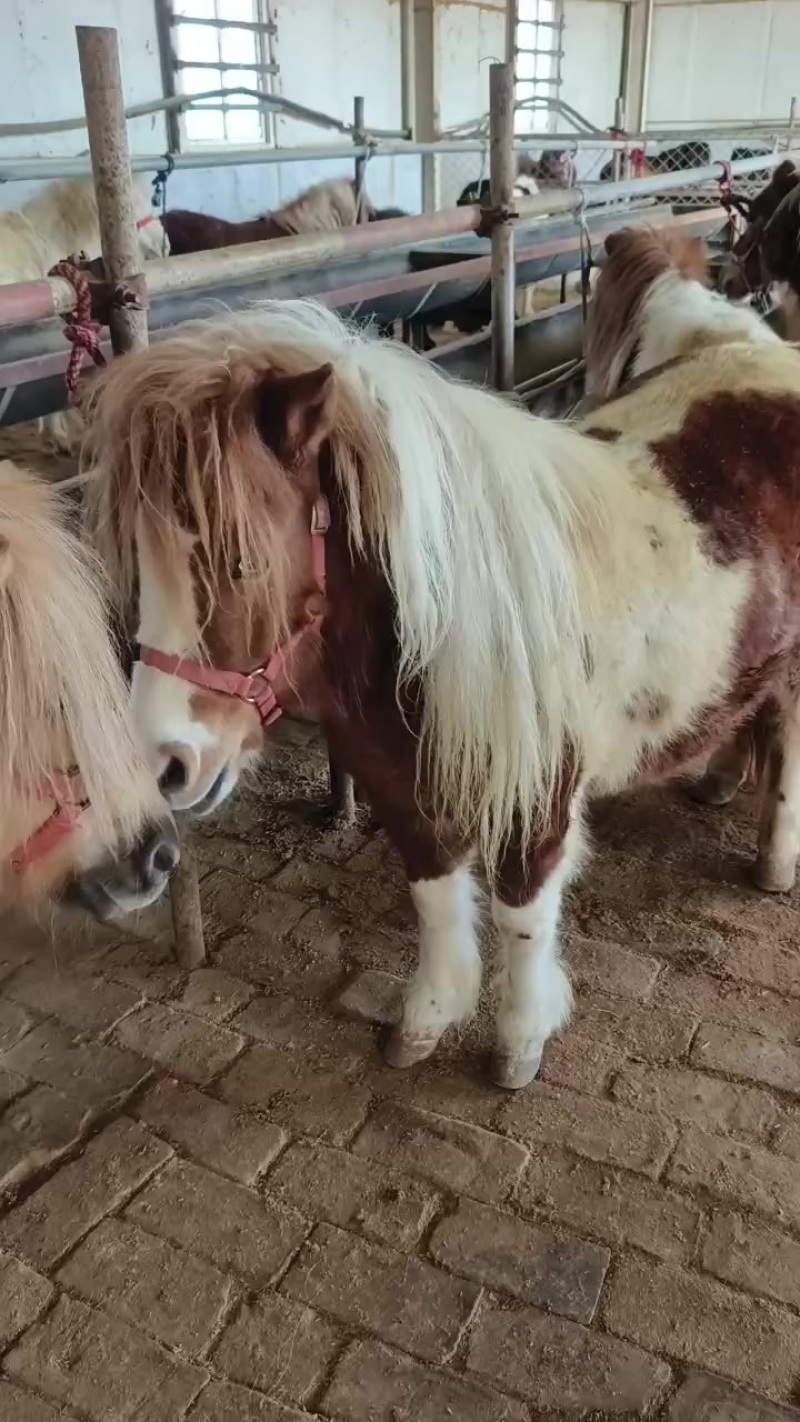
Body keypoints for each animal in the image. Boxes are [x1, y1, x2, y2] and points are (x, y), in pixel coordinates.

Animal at [82, 296, 800, 1089]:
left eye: (242, 560)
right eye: (138, 560)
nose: (162, 766)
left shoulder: (537, 801)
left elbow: (523, 916)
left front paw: (519, 1041)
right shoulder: (401, 786)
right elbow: (432, 897)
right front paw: (427, 1017)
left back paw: (775, 859)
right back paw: (721, 780)